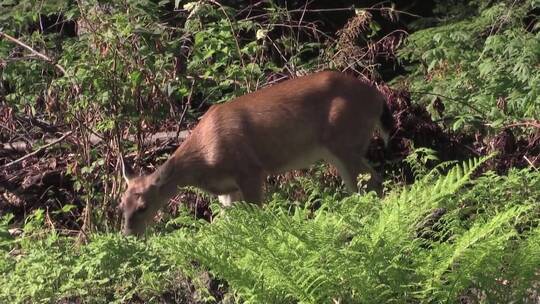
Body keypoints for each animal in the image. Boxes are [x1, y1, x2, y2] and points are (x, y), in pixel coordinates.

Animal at [120, 70, 394, 235]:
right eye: (121, 204)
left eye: (143, 206)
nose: (128, 234)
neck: (205, 160)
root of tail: (378, 97)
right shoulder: (228, 189)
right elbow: (230, 224)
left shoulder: (250, 170)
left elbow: (257, 216)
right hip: (341, 150)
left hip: (344, 142)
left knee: (372, 181)